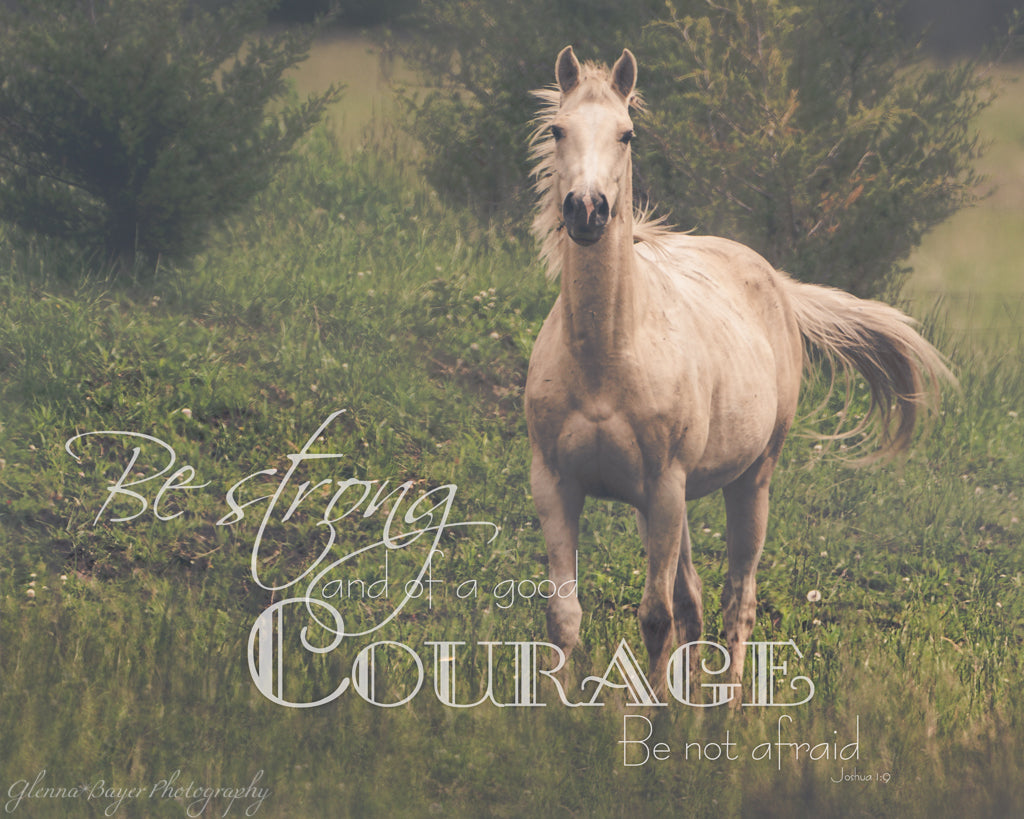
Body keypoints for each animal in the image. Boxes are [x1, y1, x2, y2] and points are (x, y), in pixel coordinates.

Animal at [524, 46, 953, 702]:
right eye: (557, 129)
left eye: (627, 134)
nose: (587, 210)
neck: (605, 359)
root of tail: (776, 282)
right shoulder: (557, 486)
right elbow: (566, 616)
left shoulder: (664, 489)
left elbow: (654, 617)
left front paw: (656, 719)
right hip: (666, 504)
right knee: (696, 601)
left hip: (748, 482)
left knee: (737, 601)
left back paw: (729, 707)